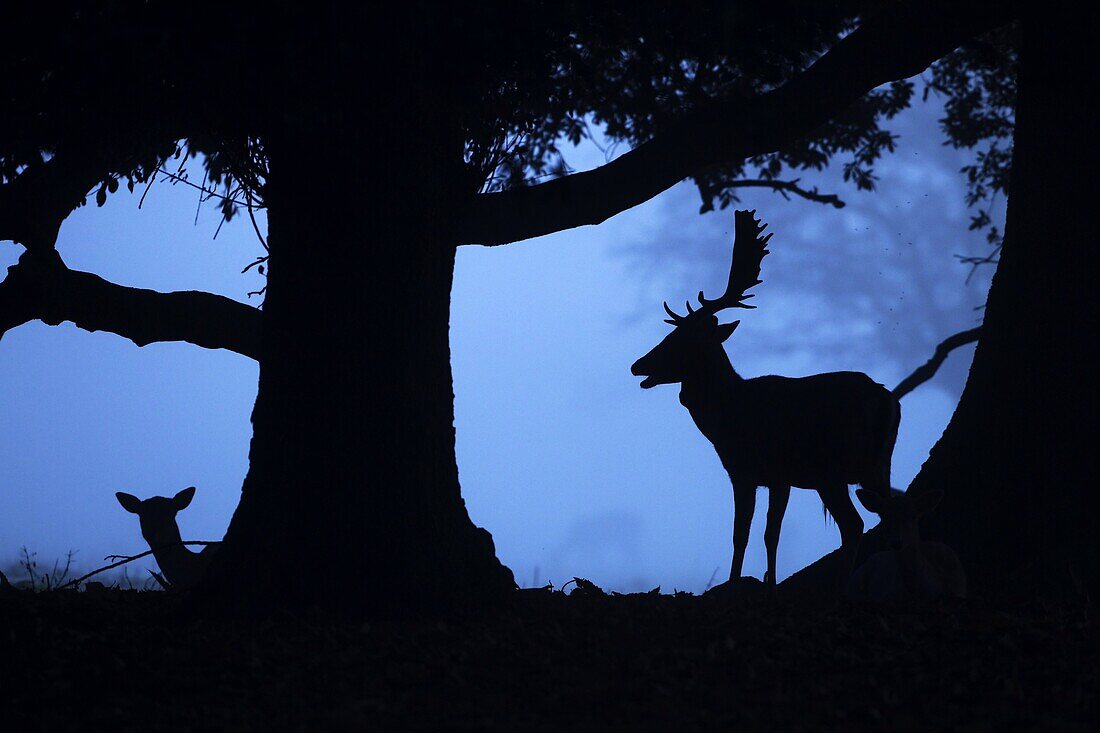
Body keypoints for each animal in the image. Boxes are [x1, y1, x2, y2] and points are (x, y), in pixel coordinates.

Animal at [633, 208, 897, 585]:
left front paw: (734, 581)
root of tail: (887, 399)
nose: (637, 365)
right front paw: (769, 581)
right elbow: (771, 534)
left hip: (832, 468)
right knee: (889, 513)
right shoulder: (779, 479)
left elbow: (741, 534)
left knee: (854, 524)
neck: (727, 417)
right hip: (877, 465)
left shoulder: (745, 470)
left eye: (682, 339)